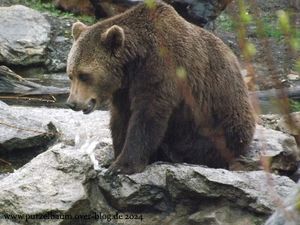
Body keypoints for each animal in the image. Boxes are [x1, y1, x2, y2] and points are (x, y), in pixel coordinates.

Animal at [65, 0, 255, 174]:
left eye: (84, 75)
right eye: (70, 74)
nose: (72, 103)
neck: (134, 60)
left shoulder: (162, 68)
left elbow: (148, 114)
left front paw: (122, 166)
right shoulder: (124, 88)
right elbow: (121, 117)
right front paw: (115, 157)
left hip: (220, 121)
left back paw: (171, 153)